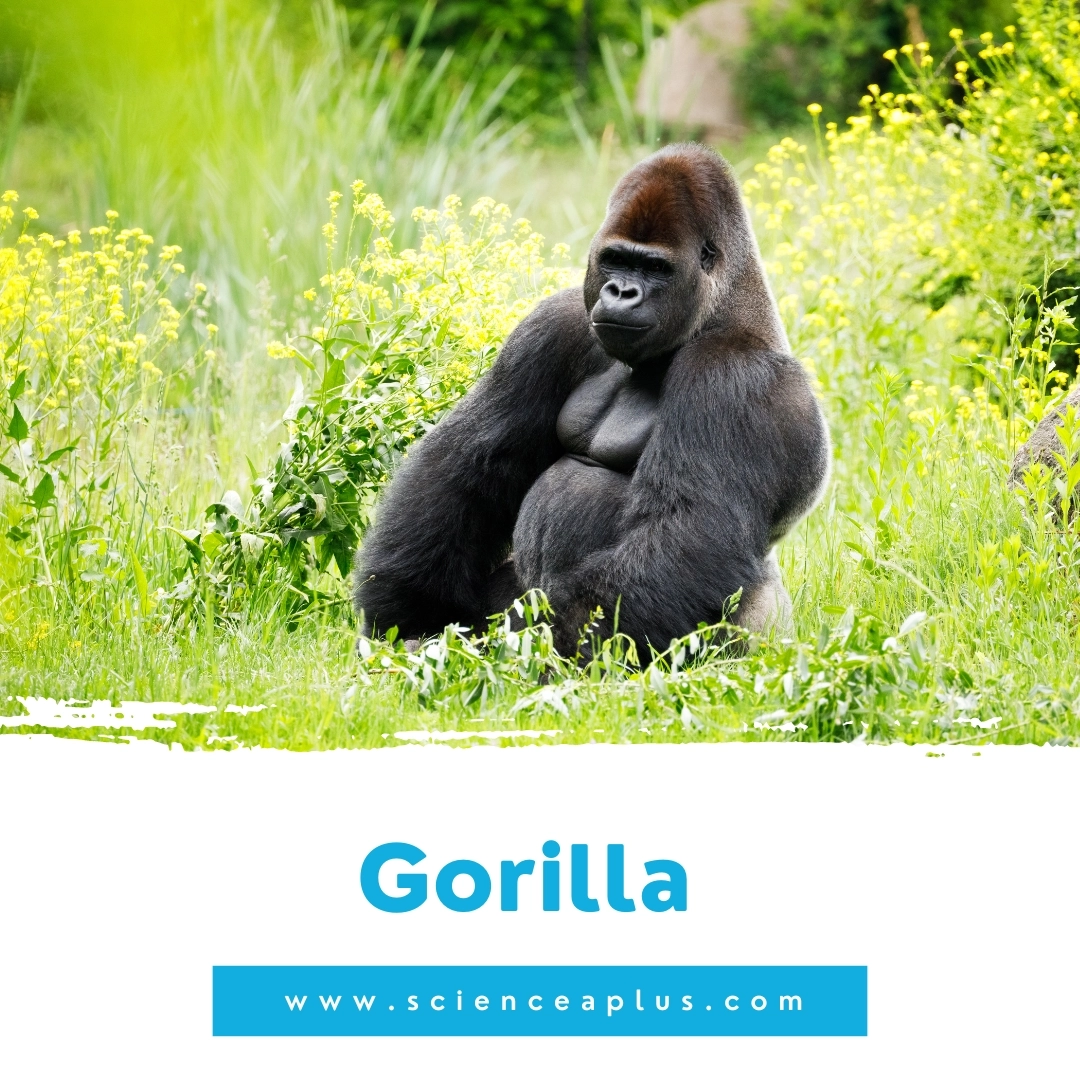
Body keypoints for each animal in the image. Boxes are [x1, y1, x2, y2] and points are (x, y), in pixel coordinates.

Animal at [353, 143, 830, 658]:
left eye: (655, 268)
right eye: (616, 259)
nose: (621, 291)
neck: (719, 310)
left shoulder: (732, 377)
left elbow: (685, 532)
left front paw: (508, 655)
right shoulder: (554, 324)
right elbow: (470, 468)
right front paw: (408, 609)